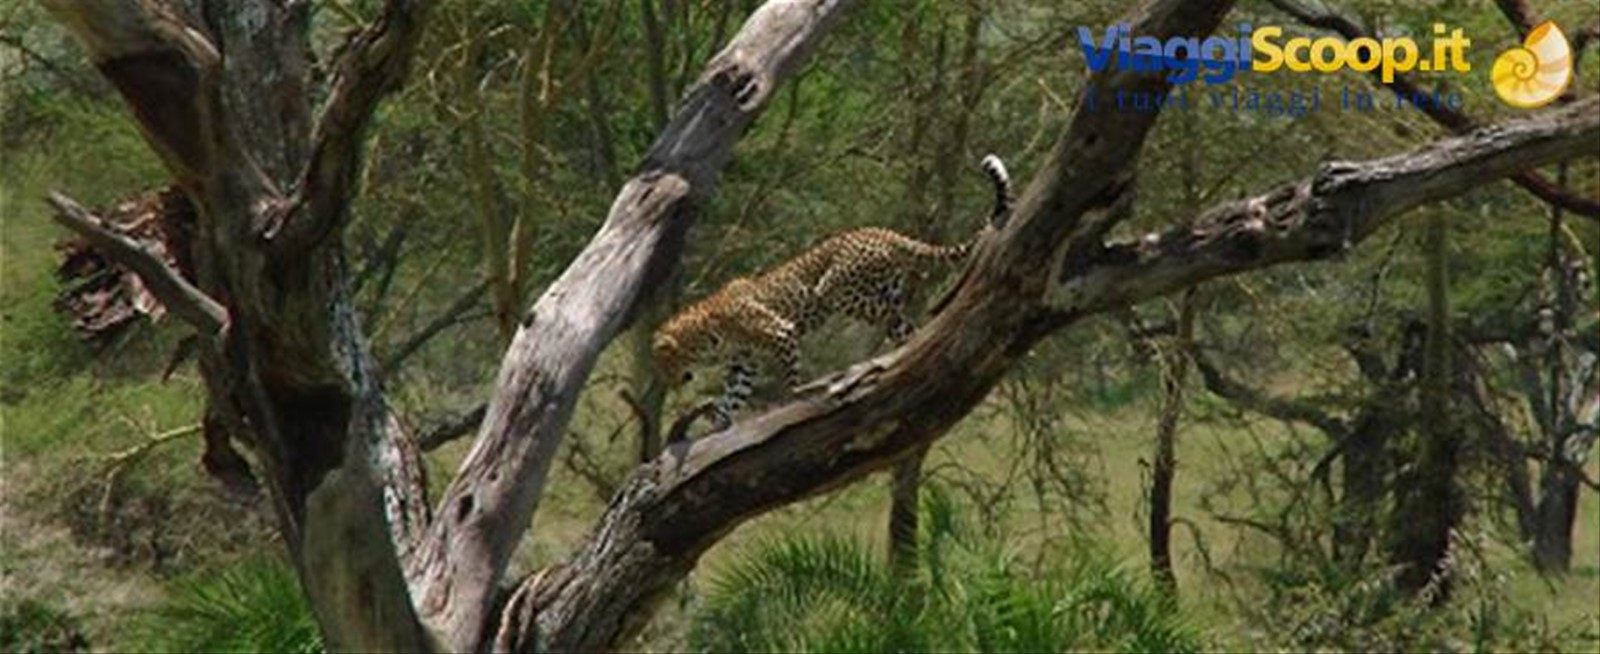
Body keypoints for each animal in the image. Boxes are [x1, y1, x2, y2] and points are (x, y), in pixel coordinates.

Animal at [653, 154, 1012, 431]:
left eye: (665, 363)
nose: (672, 382)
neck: (706, 332)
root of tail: (885, 232)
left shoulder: (780, 331)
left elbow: (790, 378)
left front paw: (795, 395)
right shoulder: (745, 361)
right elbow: (732, 396)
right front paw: (718, 424)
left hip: (836, 291)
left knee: (903, 322)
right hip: (879, 293)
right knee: (905, 327)